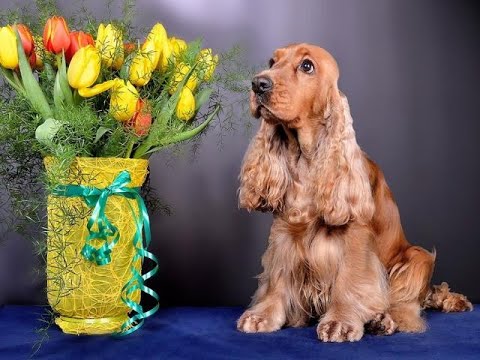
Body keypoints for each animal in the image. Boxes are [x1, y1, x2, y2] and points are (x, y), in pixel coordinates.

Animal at [238, 43, 470, 342]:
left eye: (307, 66)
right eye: (272, 61)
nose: (258, 84)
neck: (306, 160)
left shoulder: (355, 237)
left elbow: (350, 279)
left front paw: (341, 321)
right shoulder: (283, 232)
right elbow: (277, 277)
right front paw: (263, 315)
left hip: (417, 259)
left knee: (405, 309)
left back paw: (383, 321)